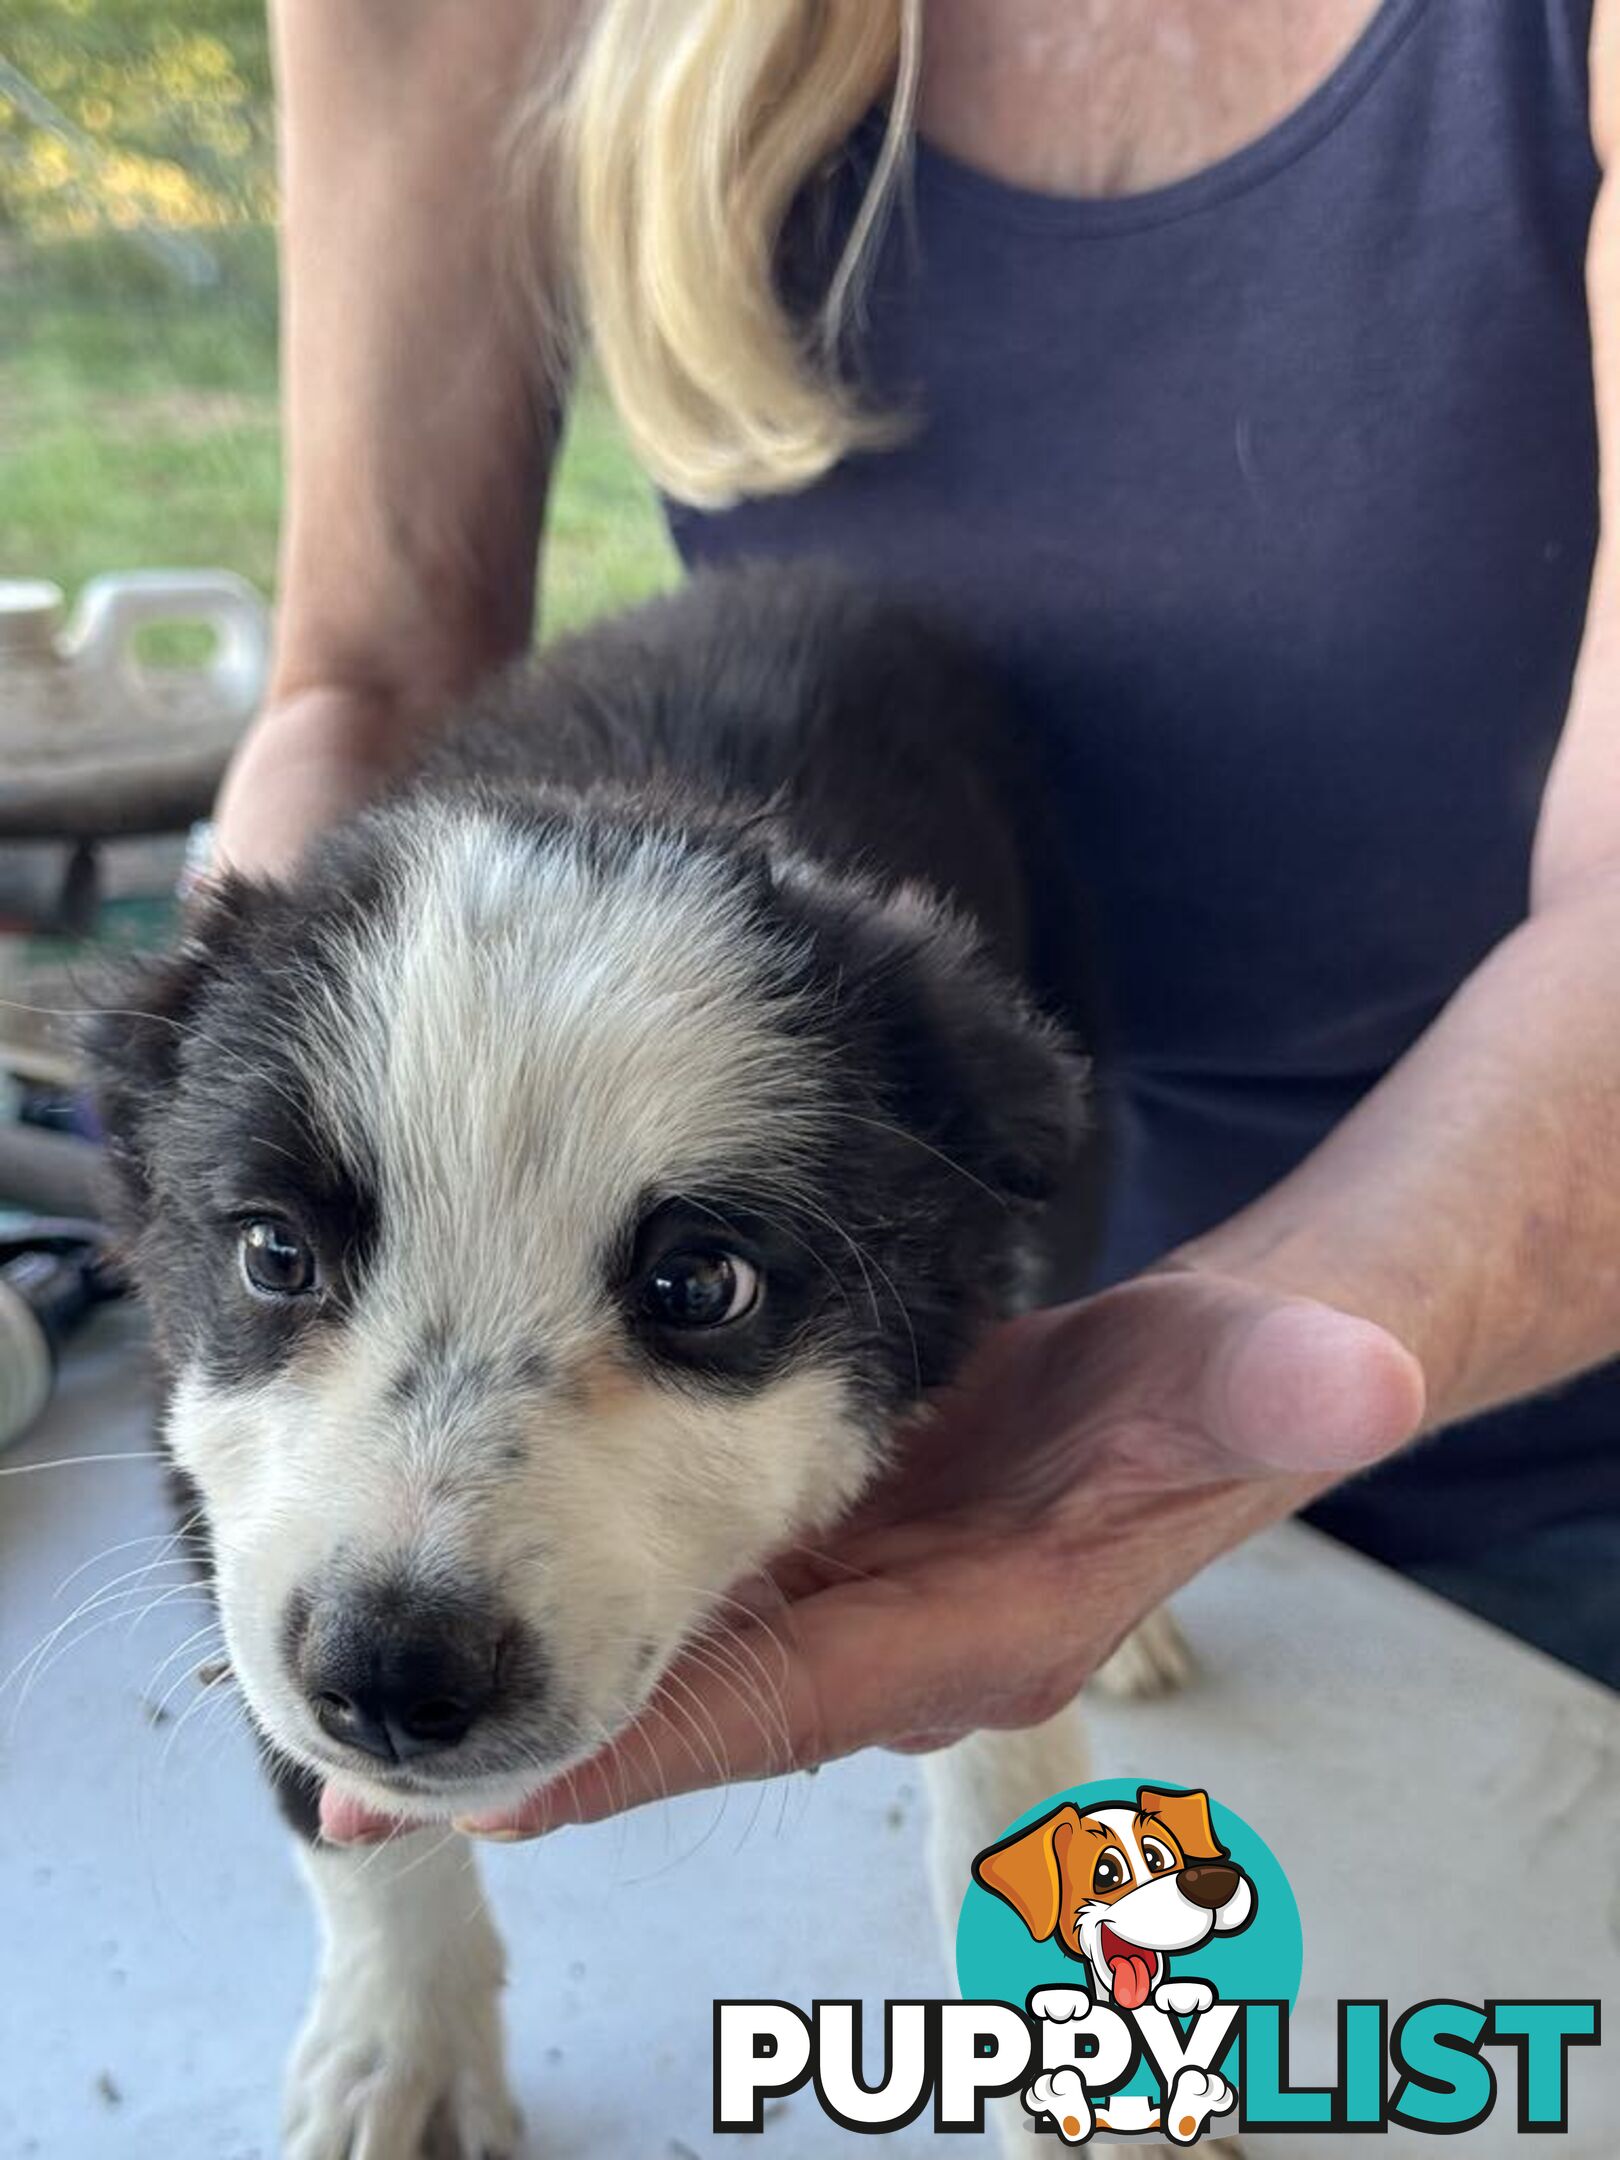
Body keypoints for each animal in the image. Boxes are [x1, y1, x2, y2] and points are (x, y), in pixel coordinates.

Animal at [85, 570, 1166, 2160]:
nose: (393, 1674)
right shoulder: (205, 1470)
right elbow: (335, 1816)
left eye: (698, 1285)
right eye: (274, 1255)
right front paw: (402, 2049)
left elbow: (1008, 1737)